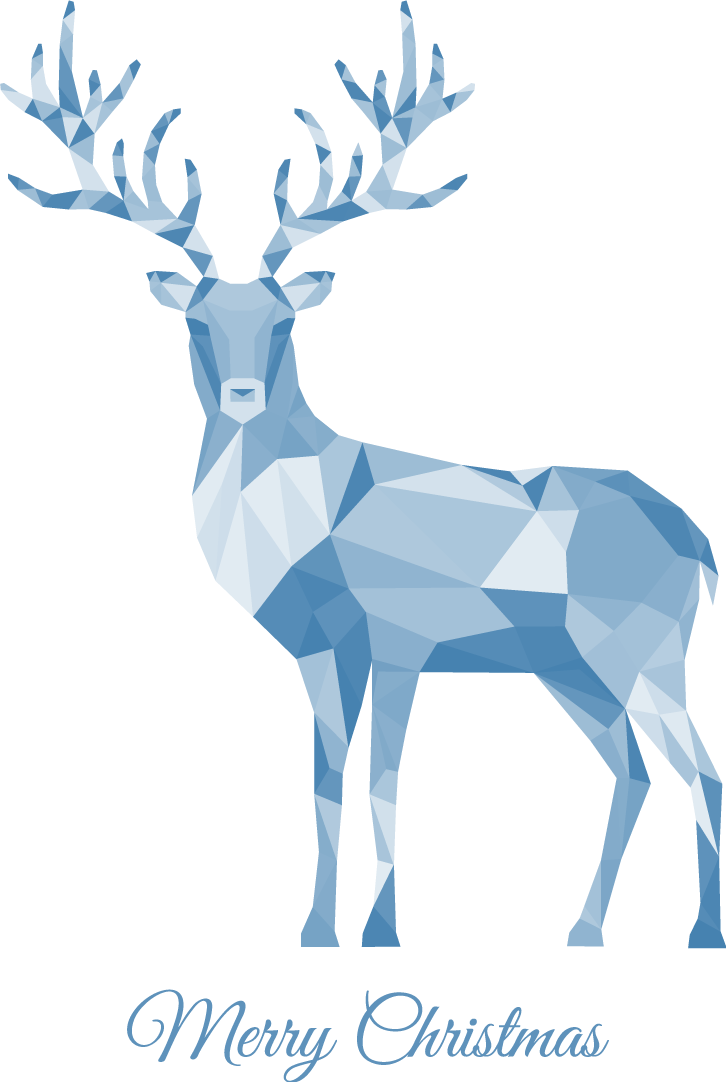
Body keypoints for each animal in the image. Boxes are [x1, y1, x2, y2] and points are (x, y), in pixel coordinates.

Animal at [3, 1, 722, 950]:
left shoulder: (400, 634)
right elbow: (324, 784)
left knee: (702, 768)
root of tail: (698, 545)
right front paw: (316, 929)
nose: (239, 394)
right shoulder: (319, 650)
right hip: (567, 666)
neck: (310, 525)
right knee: (634, 769)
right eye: (197, 323)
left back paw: (705, 932)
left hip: (642, 648)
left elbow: (383, 782)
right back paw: (583, 930)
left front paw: (380, 930)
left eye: (282, 323)